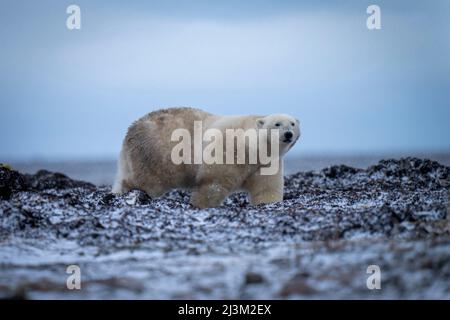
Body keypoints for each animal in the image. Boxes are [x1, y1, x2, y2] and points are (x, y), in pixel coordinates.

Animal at [112, 107, 298, 208]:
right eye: (277, 124)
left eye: (293, 123)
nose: (288, 134)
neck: (251, 147)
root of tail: (130, 131)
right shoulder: (227, 150)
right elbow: (213, 184)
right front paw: (200, 205)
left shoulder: (266, 163)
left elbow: (267, 188)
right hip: (156, 154)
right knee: (147, 181)